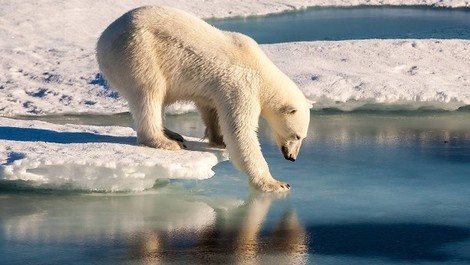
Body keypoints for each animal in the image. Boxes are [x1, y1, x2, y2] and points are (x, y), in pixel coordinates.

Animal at [96, 6, 310, 192]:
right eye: (297, 136)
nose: (292, 157)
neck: (261, 71)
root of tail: (102, 41)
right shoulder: (242, 86)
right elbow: (241, 132)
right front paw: (275, 183)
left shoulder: (217, 88)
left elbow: (210, 108)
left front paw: (219, 140)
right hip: (138, 53)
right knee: (149, 93)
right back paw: (165, 141)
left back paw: (172, 134)